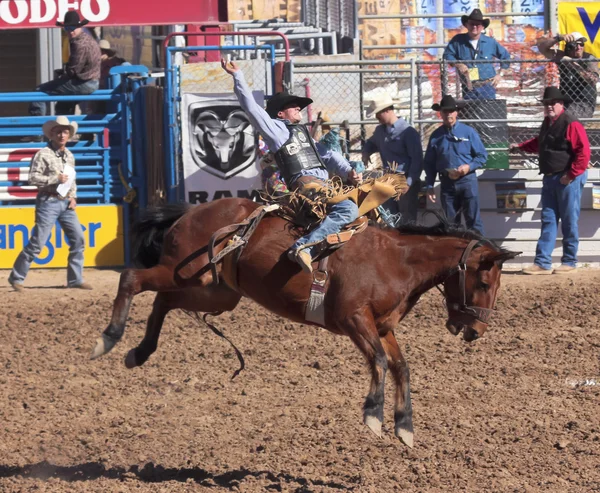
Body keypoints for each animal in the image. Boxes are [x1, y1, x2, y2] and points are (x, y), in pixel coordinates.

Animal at [90, 196, 520, 446]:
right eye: (484, 281)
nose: (477, 330)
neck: (396, 260)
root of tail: (192, 211)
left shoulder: (382, 327)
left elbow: (401, 367)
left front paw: (405, 425)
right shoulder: (354, 319)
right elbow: (380, 362)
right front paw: (373, 415)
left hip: (214, 290)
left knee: (163, 299)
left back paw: (139, 352)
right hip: (186, 273)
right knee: (133, 280)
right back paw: (108, 339)